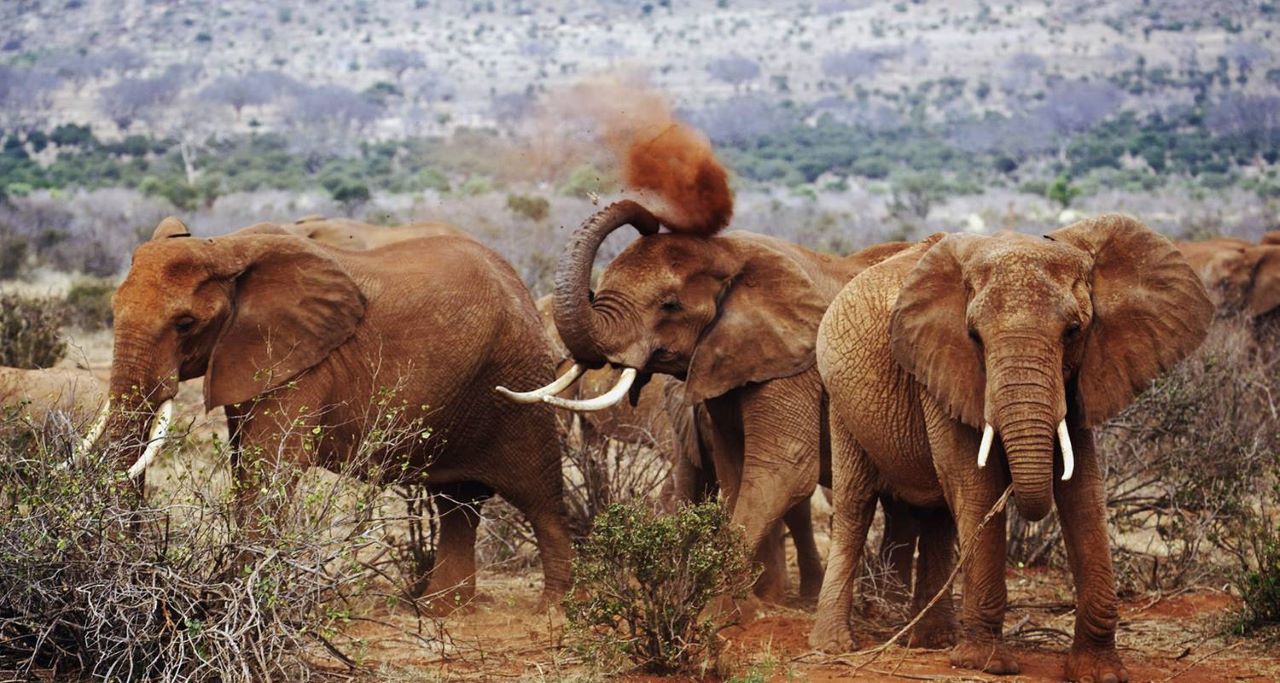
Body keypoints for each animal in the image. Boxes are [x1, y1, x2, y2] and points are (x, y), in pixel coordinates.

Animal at [92, 216, 572, 611]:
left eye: (185, 324)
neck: (226, 246)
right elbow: (245, 467)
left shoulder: (306, 362)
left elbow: (269, 469)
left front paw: (236, 604)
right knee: (457, 500)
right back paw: (440, 610)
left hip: (519, 377)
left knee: (540, 496)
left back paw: (556, 610)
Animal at [500, 199, 913, 604]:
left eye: (669, 305)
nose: (651, 218)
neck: (730, 252)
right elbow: (735, 469)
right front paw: (750, 605)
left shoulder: (795, 362)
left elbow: (784, 468)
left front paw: (717, 609)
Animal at [812, 216, 1212, 682]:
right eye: (974, 336)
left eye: (1073, 332)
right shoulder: (944, 366)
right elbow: (977, 484)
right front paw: (986, 665)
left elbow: (1083, 492)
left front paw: (1099, 672)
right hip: (840, 399)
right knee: (856, 505)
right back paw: (834, 646)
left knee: (939, 514)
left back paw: (933, 641)